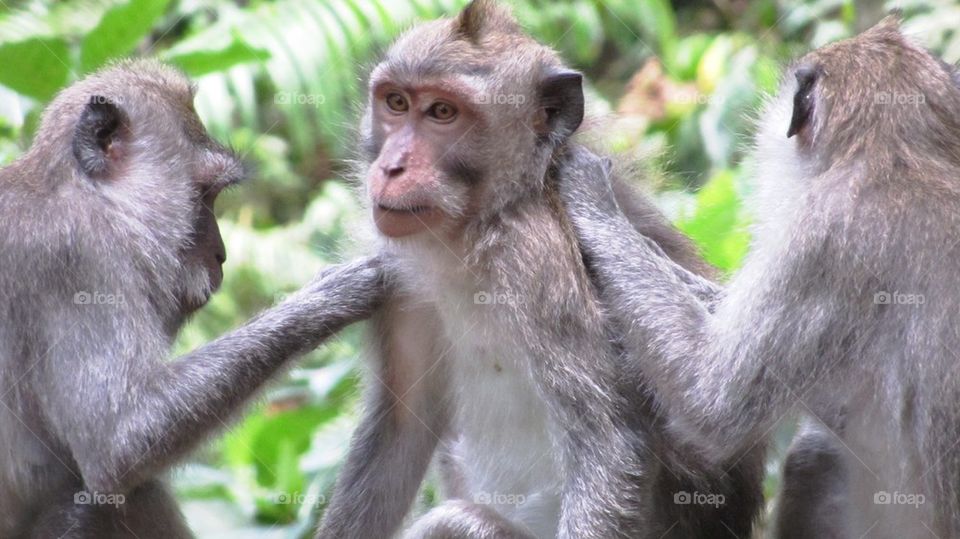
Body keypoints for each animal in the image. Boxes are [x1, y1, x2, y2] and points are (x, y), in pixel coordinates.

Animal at [0, 60, 383, 538]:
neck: (81, 193)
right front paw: (328, 300)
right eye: (204, 195)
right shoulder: (77, 259)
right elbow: (117, 440)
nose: (221, 254)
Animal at [315, 2, 763, 538]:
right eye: (396, 103)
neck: (479, 230)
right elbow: (399, 431)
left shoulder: (536, 253)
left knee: (455, 522)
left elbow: (608, 451)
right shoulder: (402, 280)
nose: (391, 167)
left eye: (443, 112)